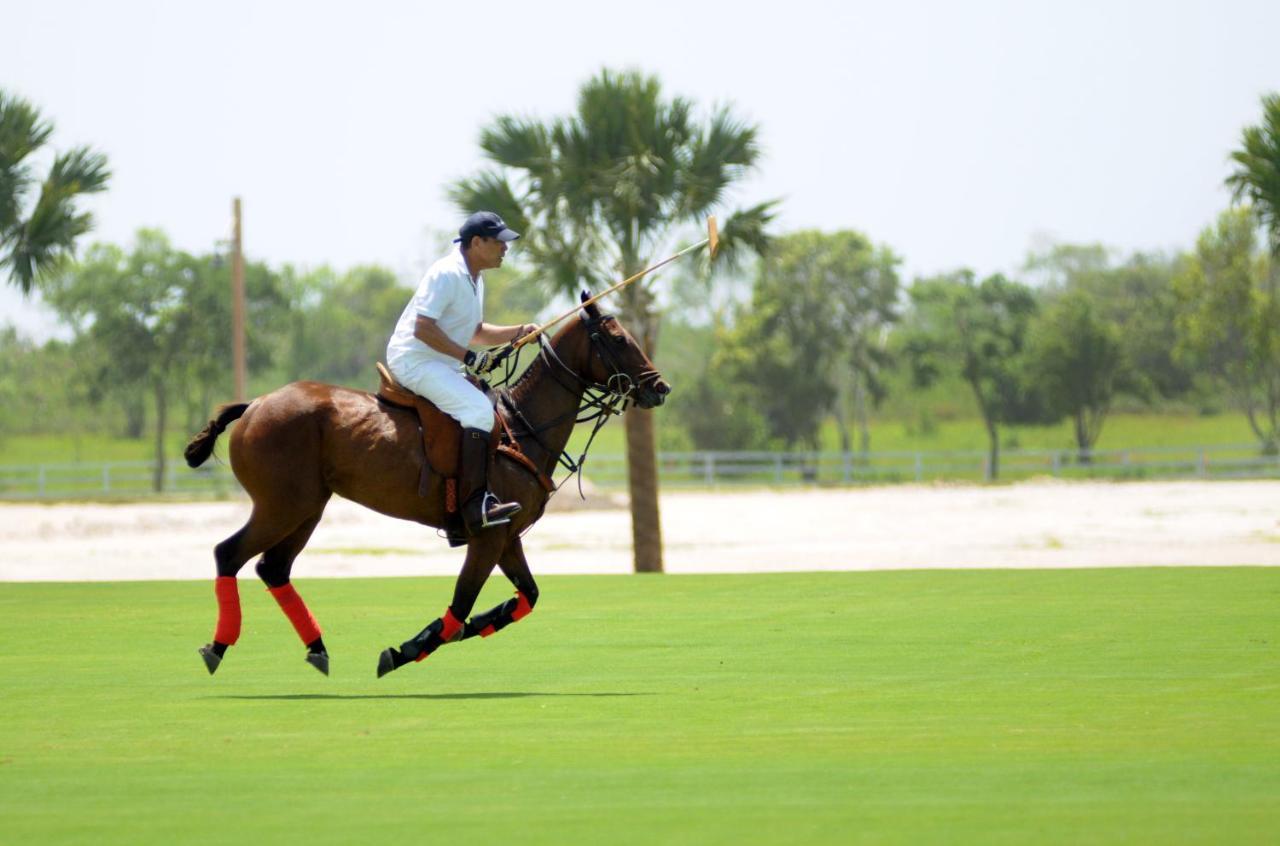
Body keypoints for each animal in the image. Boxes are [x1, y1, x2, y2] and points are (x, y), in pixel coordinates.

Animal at [186, 293, 670, 675]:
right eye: (620, 339)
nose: (661, 388)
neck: (522, 426)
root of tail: (254, 405)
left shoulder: (508, 536)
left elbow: (527, 596)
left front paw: (471, 627)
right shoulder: (486, 534)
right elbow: (460, 606)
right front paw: (405, 650)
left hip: (308, 507)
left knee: (273, 567)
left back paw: (317, 648)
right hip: (281, 504)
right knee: (229, 553)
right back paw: (218, 646)